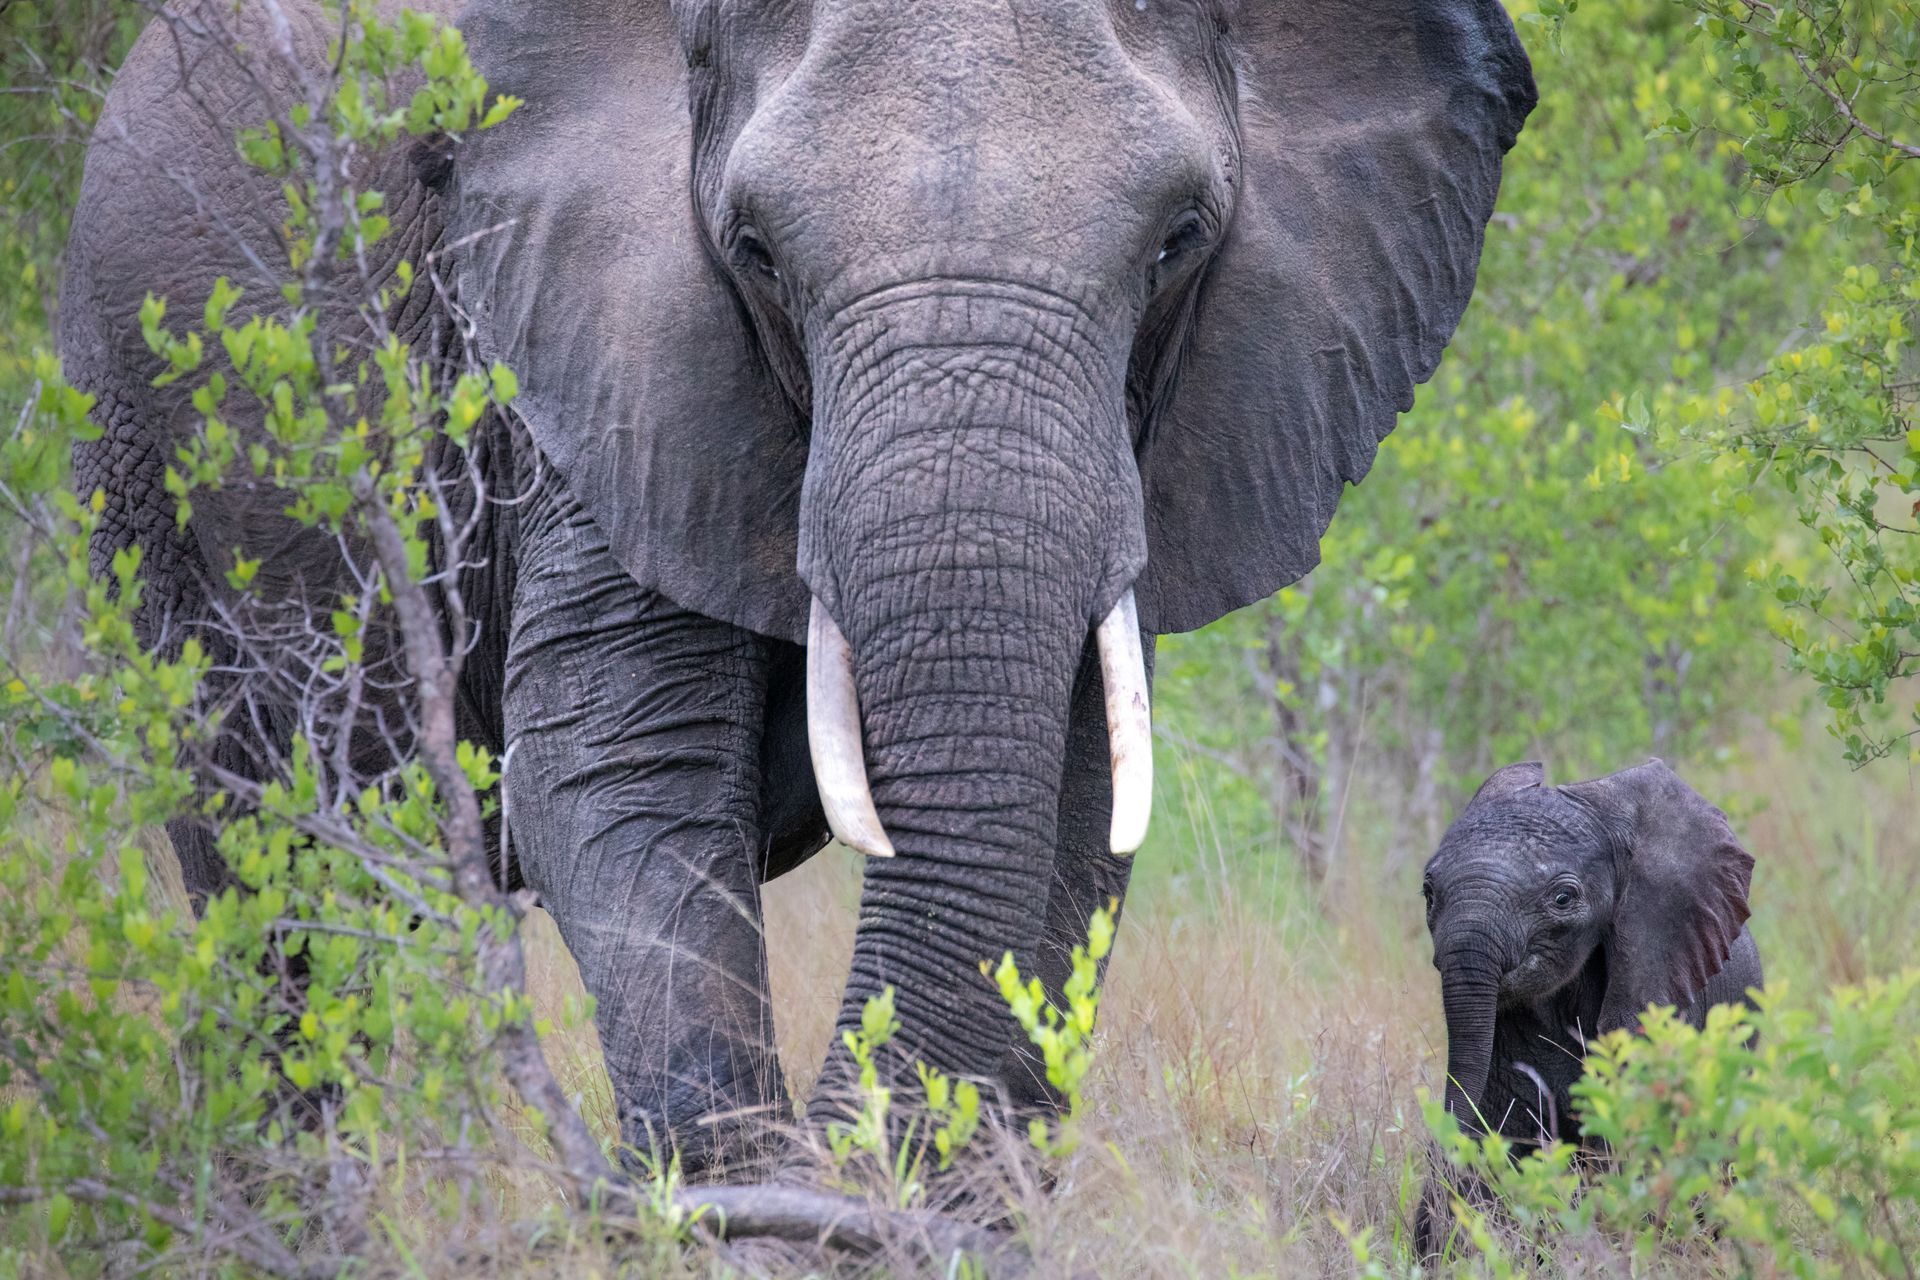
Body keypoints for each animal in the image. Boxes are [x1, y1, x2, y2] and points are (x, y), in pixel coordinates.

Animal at [60, 0, 1536, 1174]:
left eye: (1179, 239)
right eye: (756, 249)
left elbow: (1071, 804)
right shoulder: (590, 361)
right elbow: (618, 769)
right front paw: (749, 1200)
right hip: (140, 446)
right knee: (270, 873)